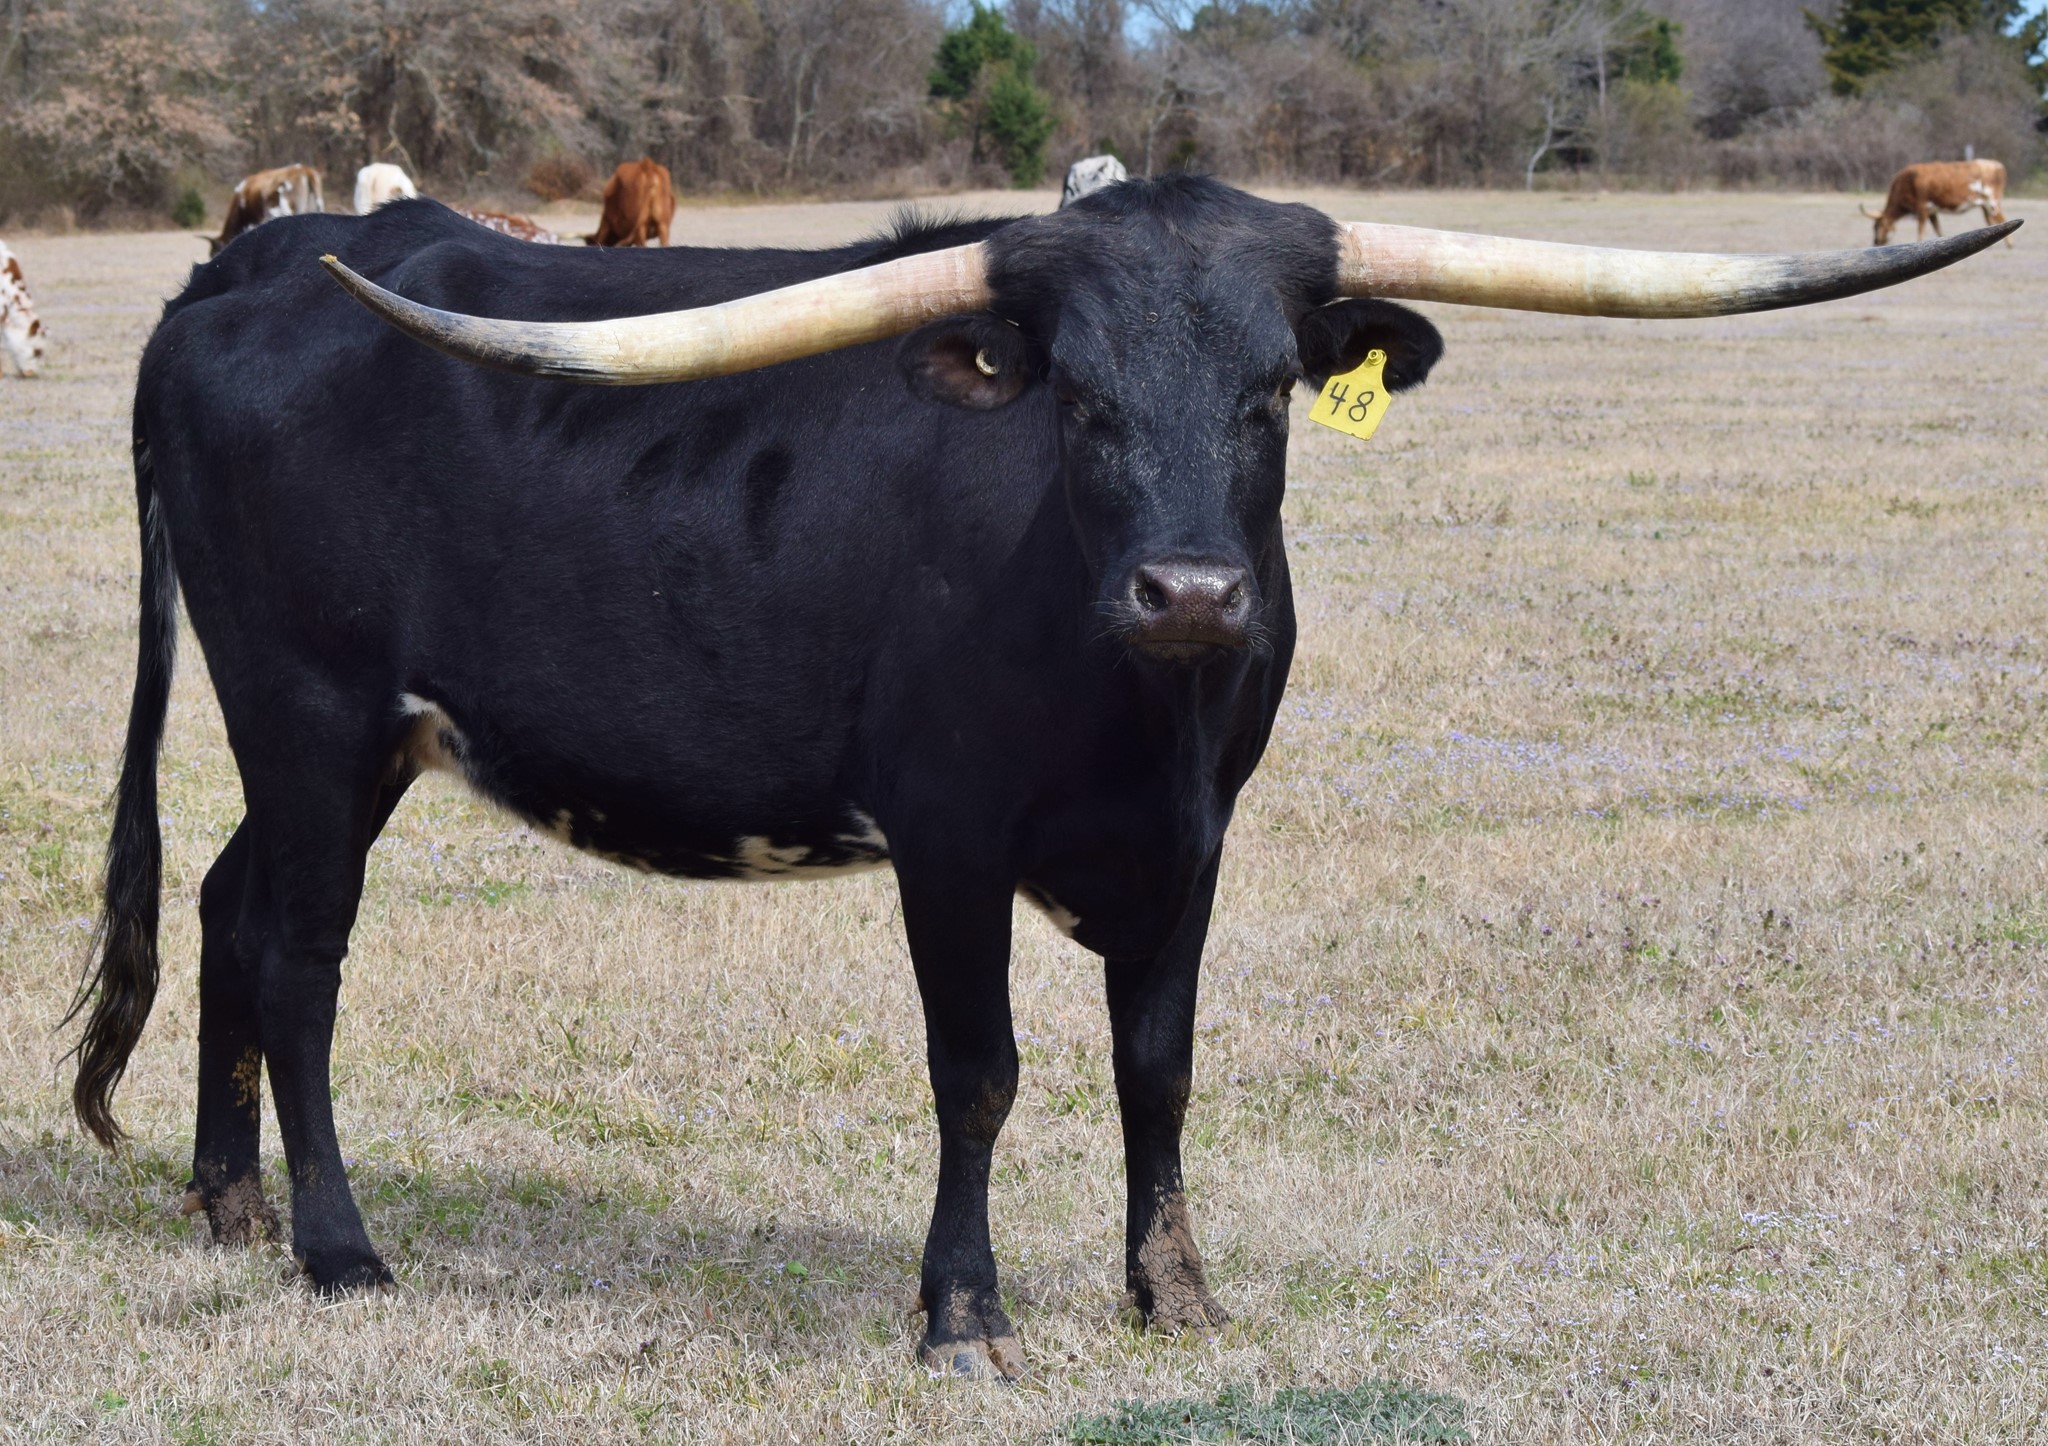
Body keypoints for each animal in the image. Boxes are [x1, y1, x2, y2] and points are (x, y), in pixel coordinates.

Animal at [69, 177, 2011, 1377]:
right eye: (1073, 398)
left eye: (1271, 393)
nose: (1191, 592)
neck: (1132, 705)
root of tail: (250, 265)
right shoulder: (946, 837)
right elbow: (982, 1073)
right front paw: (962, 1314)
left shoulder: (1196, 841)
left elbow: (1158, 1066)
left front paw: (1176, 1293)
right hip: (310, 710)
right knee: (301, 953)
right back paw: (337, 1246)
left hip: (337, 742)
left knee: (231, 909)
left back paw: (228, 1203)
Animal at [1864, 159, 2012, 247]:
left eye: (1877, 226)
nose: (1875, 242)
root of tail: (1995, 164)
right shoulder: (1932, 211)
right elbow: (1938, 229)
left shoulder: (1922, 209)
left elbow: (1921, 230)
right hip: (1984, 205)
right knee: (1991, 221)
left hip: (1992, 201)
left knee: (2001, 218)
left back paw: (2010, 244)